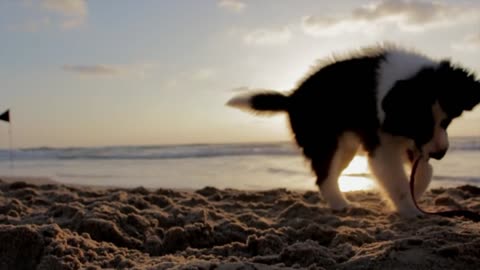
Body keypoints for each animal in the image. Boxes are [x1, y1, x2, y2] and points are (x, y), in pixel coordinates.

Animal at [228, 44, 480, 217]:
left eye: (447, 122)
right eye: (420, 124)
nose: (440, 154)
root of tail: (293, 98)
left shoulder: (409, 140)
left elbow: (425, 172)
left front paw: (413, 194)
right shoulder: (384, 144)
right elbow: (398, 179)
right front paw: (410, 209)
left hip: (345, 148)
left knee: (329, 175)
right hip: (324, 142)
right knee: (324, 176)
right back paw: (341, 205)